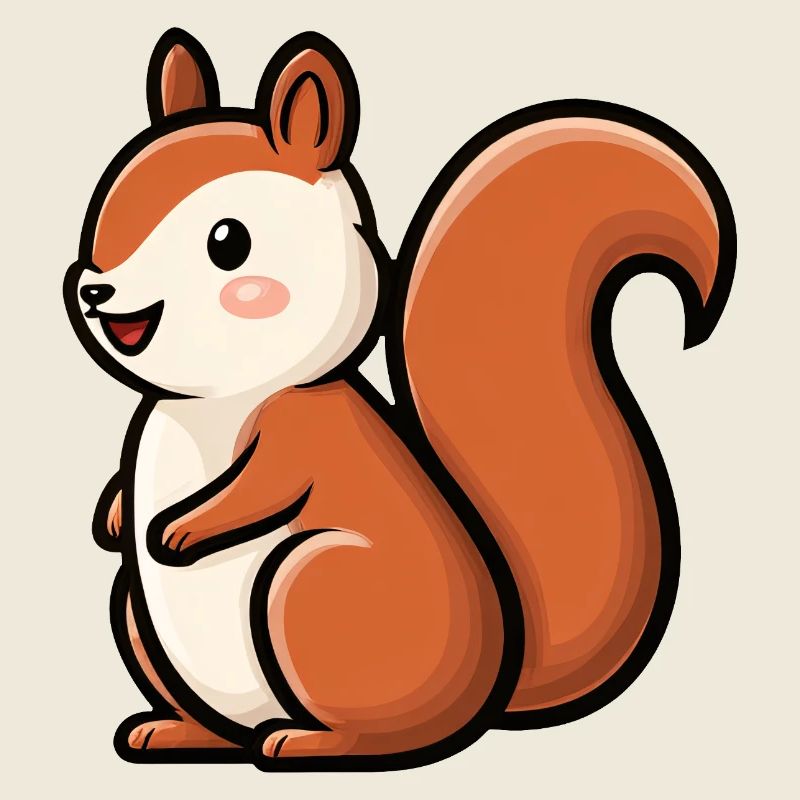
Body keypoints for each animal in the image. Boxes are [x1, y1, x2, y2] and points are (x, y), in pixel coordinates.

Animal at [64, 28, 735, 770]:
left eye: (228, 241)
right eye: (108, 202)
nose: (94, 290)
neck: (216, 396)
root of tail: (487, 689)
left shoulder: (305, 429)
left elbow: (266, 483)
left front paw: (176, 529)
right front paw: (116, 518)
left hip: (313, 586)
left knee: (387, 734)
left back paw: (303, 743)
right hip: (139, 610)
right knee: (210, 714)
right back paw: (174, 732)